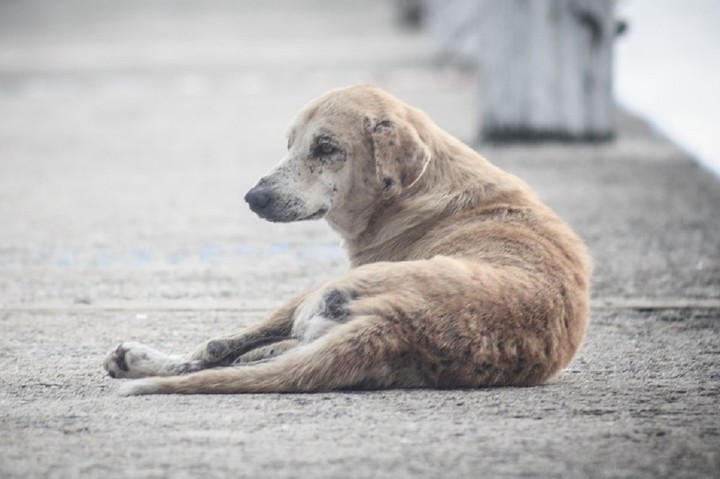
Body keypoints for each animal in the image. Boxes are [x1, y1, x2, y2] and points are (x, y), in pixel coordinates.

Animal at [105, 84, 592, 396]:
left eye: (325, 148)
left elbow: (222, 346)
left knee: (216, 353)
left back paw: (138, 361)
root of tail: (395, 326)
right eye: (290, 144)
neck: (418, 189)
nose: (252, 198)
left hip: (317, 293)